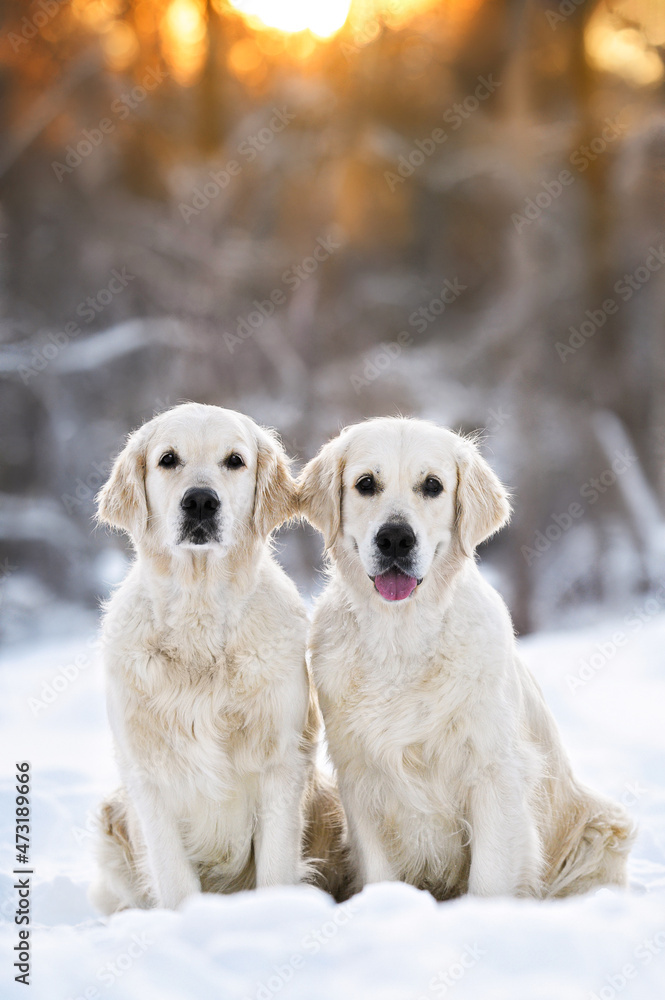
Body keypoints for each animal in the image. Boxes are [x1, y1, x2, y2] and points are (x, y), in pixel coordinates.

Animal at [91, 400, 348, 916]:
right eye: (168, 459)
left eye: (235, 460)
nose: (200, 502)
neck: (201, 615)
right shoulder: (146, 773)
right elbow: (173, 878)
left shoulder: (281, 761)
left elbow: (274, 869)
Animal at [298, 414, 636, 900]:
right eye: (365, 484)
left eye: (432, 485)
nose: (395, 538)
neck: (402, 637)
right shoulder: (361, 777)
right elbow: (380, 871)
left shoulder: (494, 772)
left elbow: (490, 877)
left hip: (601, 828)